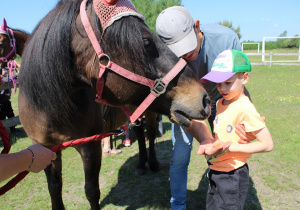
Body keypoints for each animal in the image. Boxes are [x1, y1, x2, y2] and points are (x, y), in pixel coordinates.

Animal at [17, 0, 210, 209]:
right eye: (146, 42)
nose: (204, 98)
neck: (51, 110)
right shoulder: (45, 151)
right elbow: (54, 190)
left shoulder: (90, 147)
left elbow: (92, 191)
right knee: (140, 132)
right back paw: (141, 164)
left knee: (150, 134)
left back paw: (152, 162)